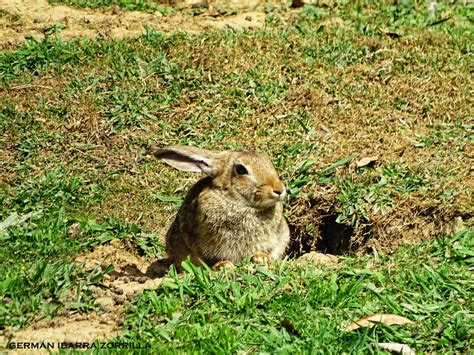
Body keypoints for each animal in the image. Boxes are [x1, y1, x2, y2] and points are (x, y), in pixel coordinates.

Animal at [154, 146, 290, 272]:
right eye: (241, 169)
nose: (279, 190)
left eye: (268, 161)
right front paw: (223, 266)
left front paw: (261, 257)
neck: (242, 205)